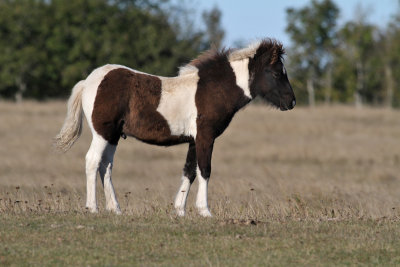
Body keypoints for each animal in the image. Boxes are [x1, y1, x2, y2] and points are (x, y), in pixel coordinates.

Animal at [54, 38, 296, 218]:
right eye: (276, 73)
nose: (291, 102)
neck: (213, 89)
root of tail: (88, 81)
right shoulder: (206, 136)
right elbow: (205, 170)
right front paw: (204, 211)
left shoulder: (194, 140)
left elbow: (189, 171)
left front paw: (180, 210)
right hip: (102, 133)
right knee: (93, 161)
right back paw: (92, 207)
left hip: (113, 135)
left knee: (106, 165)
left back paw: (115, 209)